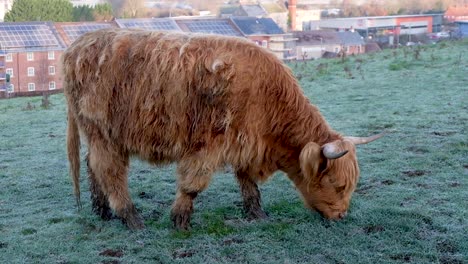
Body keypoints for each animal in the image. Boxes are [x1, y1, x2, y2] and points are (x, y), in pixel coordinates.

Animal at [63, 27, 384, 229]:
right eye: (338, 184)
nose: (341, 216)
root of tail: (77, 46)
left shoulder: (245, 143)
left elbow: (248, 183)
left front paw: (257, 214)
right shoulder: (208, 145)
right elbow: (192, 185)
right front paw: (180, 220)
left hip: (100, 136)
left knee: (93, 166)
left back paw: (102, 211)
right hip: (103, 132)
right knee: (109, 172)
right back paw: (130, 218)